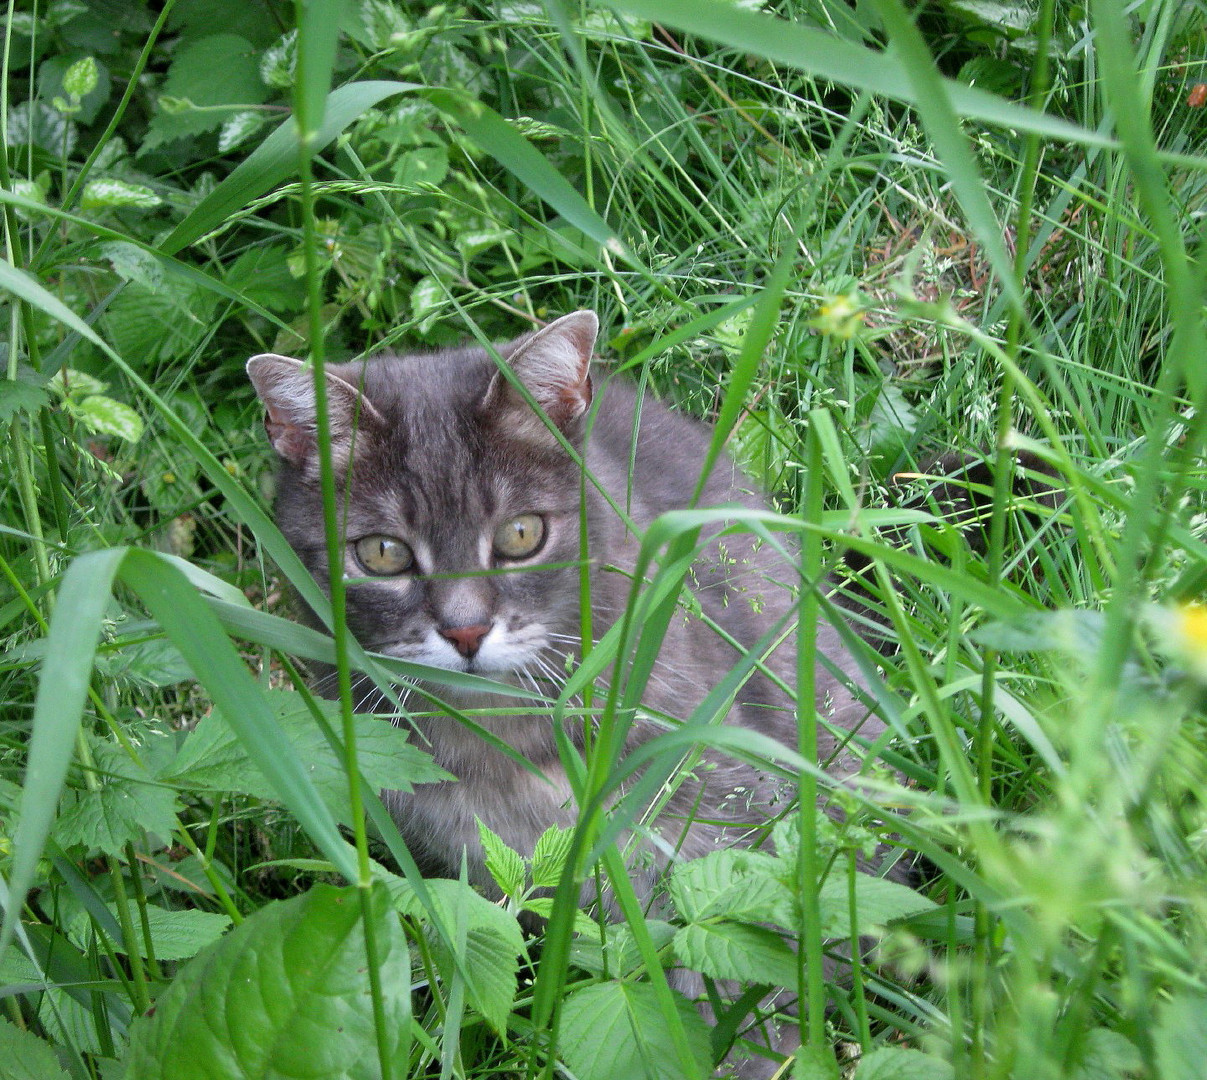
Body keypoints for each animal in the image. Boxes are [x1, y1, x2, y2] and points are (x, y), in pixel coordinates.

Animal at [247, 308, 888, 1076]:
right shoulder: (477, 874)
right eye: (382, 554)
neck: (501, 742)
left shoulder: (726, 828)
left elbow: (746, 967)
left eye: (522, 534)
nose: (465, 630)